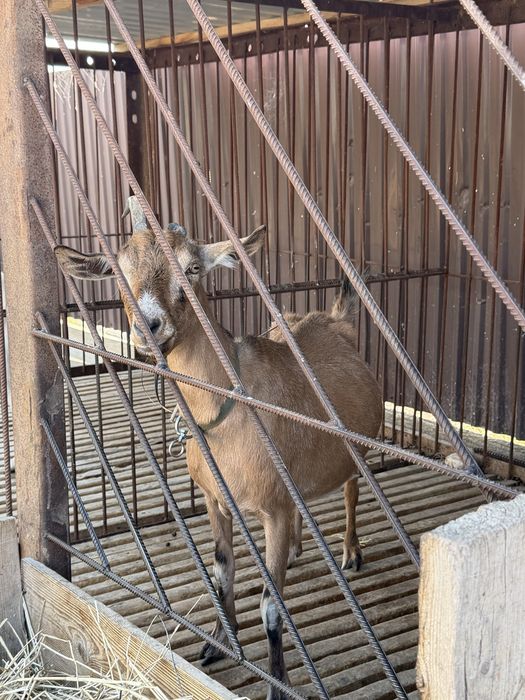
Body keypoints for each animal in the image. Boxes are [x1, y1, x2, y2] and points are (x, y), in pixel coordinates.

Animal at [55, 203, 382, 699]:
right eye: (118, 270)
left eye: (193, 268)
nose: (149, 327)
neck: (229, 409)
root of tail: (336, 319)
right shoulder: (216, 500)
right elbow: (221, 571)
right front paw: (218, 643)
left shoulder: (271, 509)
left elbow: (270, 606)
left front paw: (277, 683)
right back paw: (297, 548)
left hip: (356, 450)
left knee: (350, 489)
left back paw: (350, 550)